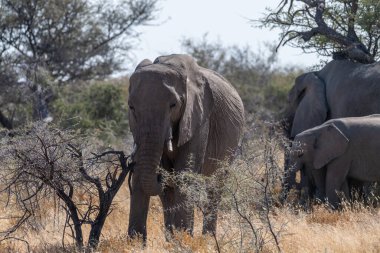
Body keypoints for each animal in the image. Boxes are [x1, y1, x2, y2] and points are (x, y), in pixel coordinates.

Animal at [126, 54, 245, 240]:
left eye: (173, 105)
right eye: (131, 107)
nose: (159, 175)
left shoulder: (199, 118)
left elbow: (185, 174)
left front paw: (185, 239)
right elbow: (139, 176)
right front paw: (135, 242)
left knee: (214, 188)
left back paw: (207, 239)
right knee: (168, 193)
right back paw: (171, 239)